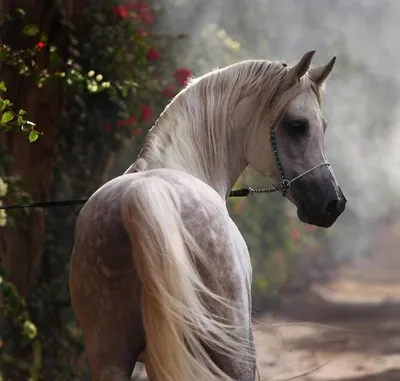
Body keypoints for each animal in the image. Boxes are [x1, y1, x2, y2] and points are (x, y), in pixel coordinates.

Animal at [69, 50, 346, 380]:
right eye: (297, 125)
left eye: (323, 126)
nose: (333, 203)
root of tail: (141, 194)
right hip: (232, 348)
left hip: (111, 354)